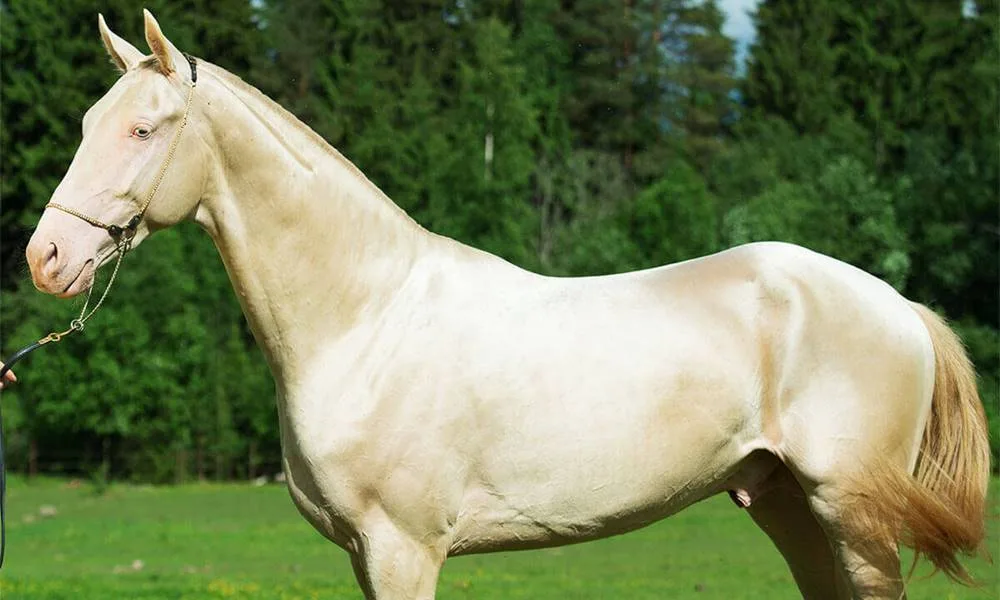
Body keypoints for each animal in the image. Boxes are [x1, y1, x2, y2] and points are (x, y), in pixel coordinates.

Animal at [23, 11, 989, 599]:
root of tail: (899, 306)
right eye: (86, 123)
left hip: (851, 513)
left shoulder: (403, 548)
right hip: (787, 504)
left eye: (144, 129)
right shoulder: (364, 554)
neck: (365, 321)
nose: (47, 257)